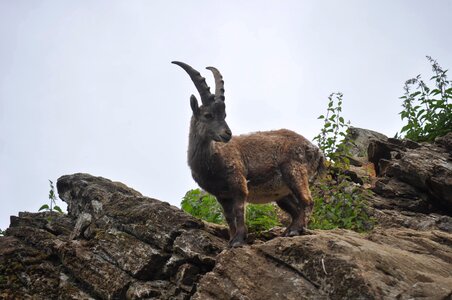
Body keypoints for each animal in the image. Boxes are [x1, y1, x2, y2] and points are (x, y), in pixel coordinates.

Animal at [171, 61, 324, 248]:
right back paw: (288, 230)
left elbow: (239, 211)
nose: (227, 134)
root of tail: (315, 150)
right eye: (208, 115)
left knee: (307, 201)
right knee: (295, 209)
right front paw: (230, 240)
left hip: (295, 171)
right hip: (282, 193)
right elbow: (229, 218)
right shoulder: (222, 195)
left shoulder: (238, 182)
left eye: (224, 115)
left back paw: (297, 230)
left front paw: (238, 240)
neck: (212, 159)